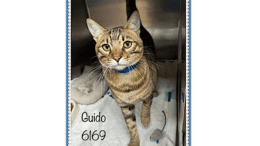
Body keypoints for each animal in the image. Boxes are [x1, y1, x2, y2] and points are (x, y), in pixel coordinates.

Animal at [86, 10, 157, 145]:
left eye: (127, 44)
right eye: (106, 47)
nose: (117, 58)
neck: (125, 78)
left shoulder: (146, 95)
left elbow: (146, 105)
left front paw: (145, 119)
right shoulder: (124, 106)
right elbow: (130, 125)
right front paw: (134, 141)